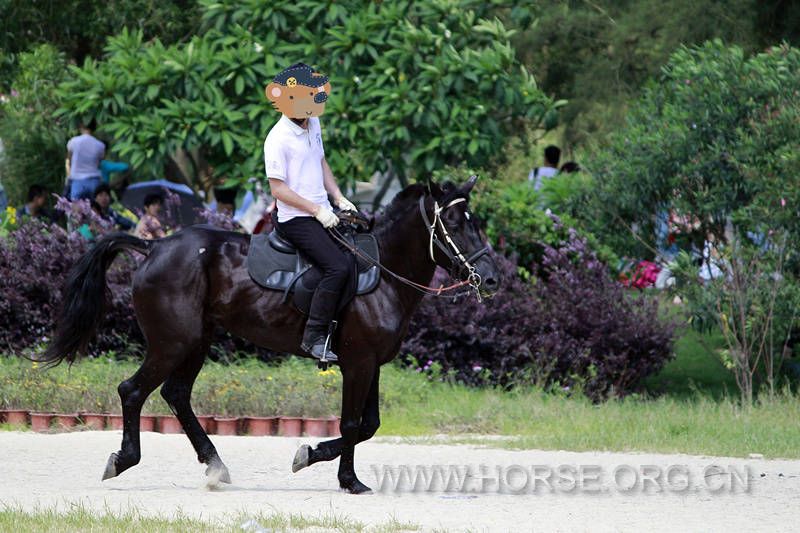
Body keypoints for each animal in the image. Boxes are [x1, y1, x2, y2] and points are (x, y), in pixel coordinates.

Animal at [42, 177, 500, 492]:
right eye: (453, 224)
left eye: (475, 222)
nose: (492, 278)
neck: (384, 270)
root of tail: (154, 247)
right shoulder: (357, 362)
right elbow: (353, 422)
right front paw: (345, 478)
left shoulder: (371, 364)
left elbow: (369, 424)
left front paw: (312, 455)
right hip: (172, 343)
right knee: (133, 390)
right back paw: (123, 460)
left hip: (196, 341)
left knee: (176, 394)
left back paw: (215, 466)